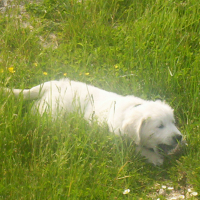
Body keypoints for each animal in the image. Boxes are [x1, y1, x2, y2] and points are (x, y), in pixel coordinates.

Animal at [3, 78, 184, 166]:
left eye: (173, 122)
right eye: (160, 126)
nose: (178, 137)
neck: (130, 110)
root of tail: (52, 84)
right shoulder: (115, 141)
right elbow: (135, 147)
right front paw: (153, 157)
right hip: (53, 111)